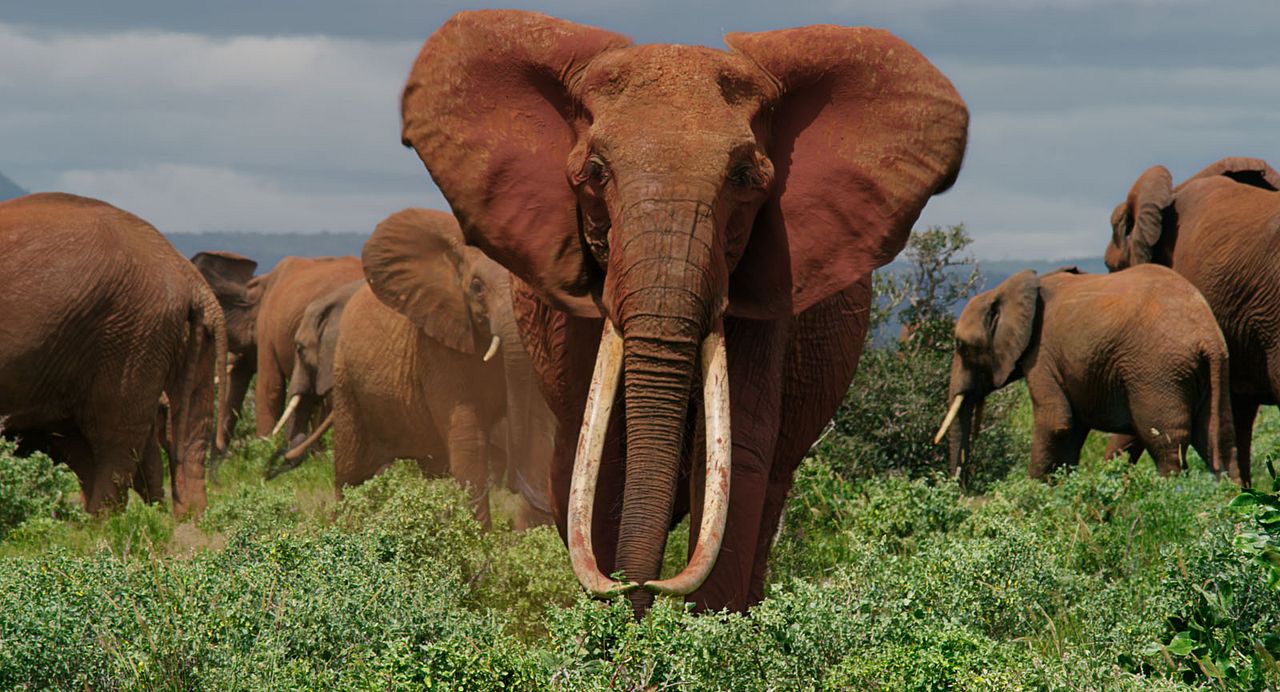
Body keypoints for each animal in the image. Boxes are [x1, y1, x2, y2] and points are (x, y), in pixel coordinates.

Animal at [0, 193, 227, 517]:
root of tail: (188, 274)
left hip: (131, 334)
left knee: (114, 437)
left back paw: (100, 524)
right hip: (184, 336)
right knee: (188, 431)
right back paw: (191, 522)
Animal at [329, 208, 556, 530]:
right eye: (476, 287)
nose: (514, 487)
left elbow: (538, 427)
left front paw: (529, 537)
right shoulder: (437, 346)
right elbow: (468, 435)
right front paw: (477, 539)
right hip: (346, 381)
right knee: (352, 475)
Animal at [936, 266, 1237, 484]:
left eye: (961, 346)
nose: (960, 489)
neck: (1009, 290)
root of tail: (1207, 337)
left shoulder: (1041, 354)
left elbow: (1055, 423)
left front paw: (1031, 493)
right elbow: (1071, 433)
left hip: (1158, 372)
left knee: (1166, 444)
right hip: (1214, 372)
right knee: (1219, 440)